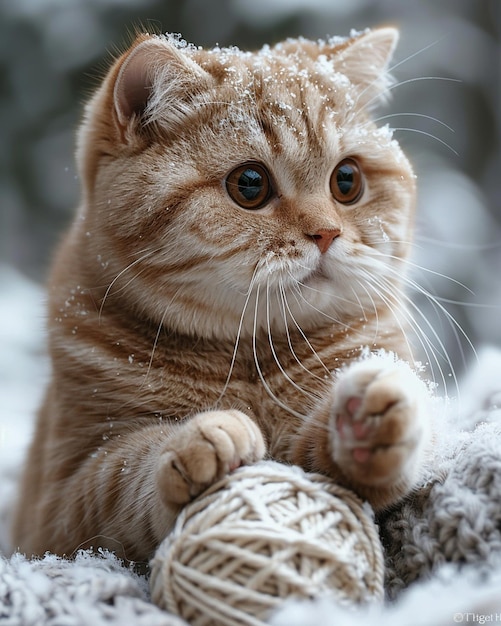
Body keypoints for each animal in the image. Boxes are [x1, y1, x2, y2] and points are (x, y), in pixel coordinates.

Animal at [13, 26, 432, 564]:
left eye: (347, 180)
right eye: (249, 185)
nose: (326, 233)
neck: (250, 357)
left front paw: (365, 427)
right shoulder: (61, 503)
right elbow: (122, 474)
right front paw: (198, 441)